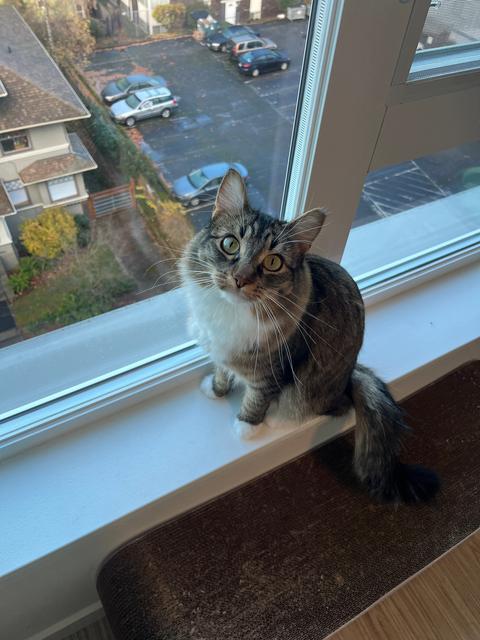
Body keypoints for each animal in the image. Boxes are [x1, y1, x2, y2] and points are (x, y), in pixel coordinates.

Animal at [180, 169, 439, 503]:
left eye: (273, 262)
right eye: (230, 244)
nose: (240, 279)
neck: (231, 312)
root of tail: (350, 375)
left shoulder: (274, 369)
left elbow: (257, 397)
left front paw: (246, 426)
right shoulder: (221, 349)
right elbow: (223, 370)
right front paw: (216, 388)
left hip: (313, 387)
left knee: (334, 407)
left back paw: (278, 418)